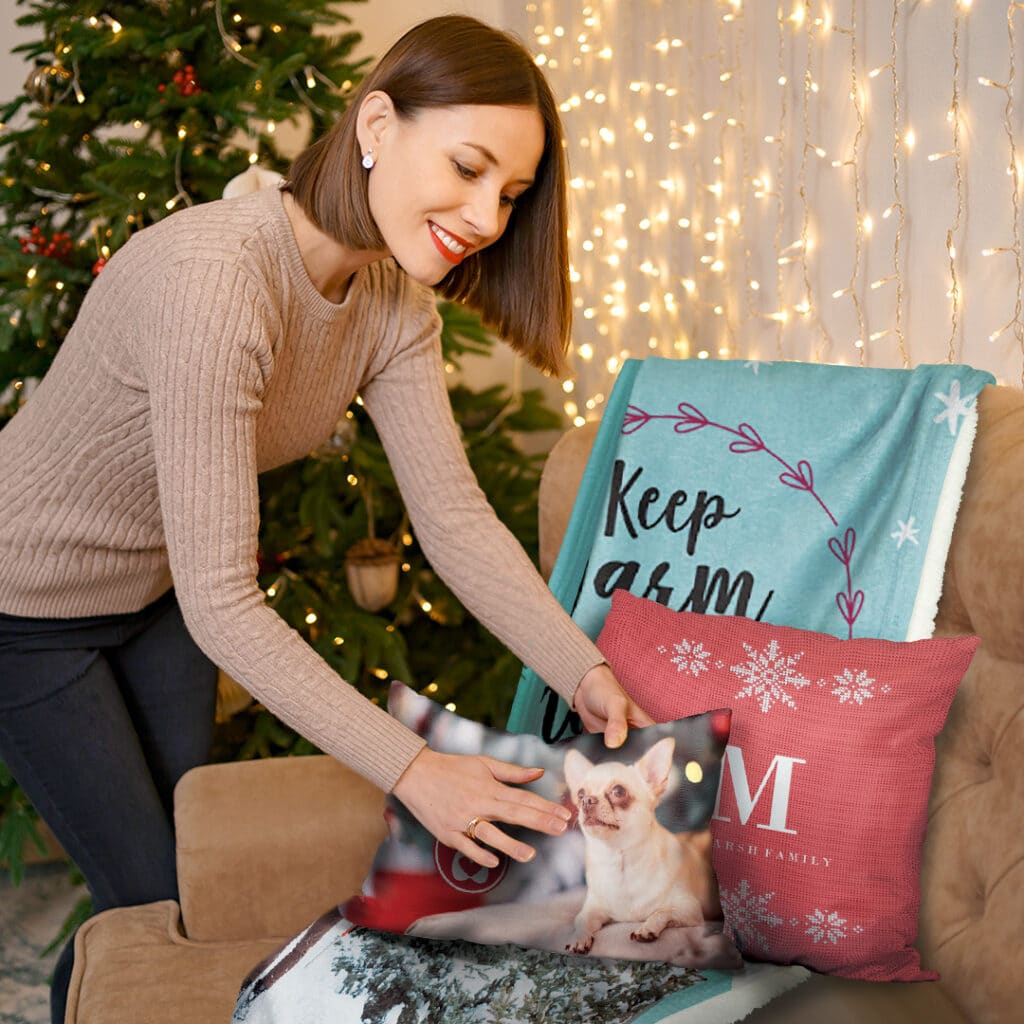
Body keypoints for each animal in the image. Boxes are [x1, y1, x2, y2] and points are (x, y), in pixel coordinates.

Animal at [565, 741, 716, 954]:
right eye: (580, 794)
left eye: (618, 791)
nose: (587, 800)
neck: (621, 862)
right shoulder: (593, 908)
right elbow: (580, 920)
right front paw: (579, 937)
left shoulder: (689, 910)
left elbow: (661, 912)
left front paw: (646, 929)